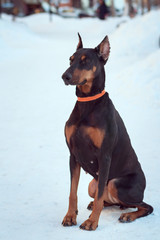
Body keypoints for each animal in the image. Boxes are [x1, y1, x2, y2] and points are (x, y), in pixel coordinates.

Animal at [61, 33, 152, 231]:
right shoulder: (73, 155)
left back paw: (128, 215)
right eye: (70, 59)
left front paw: (92, 222)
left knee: (145, 206)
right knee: (104, 198)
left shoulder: (104, 156)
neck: (87, 102)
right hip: (92, 184)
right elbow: (72, 192)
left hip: (117, 183)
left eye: (85, 61)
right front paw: (70, 216)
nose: (64, 76)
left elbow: (99, 197)